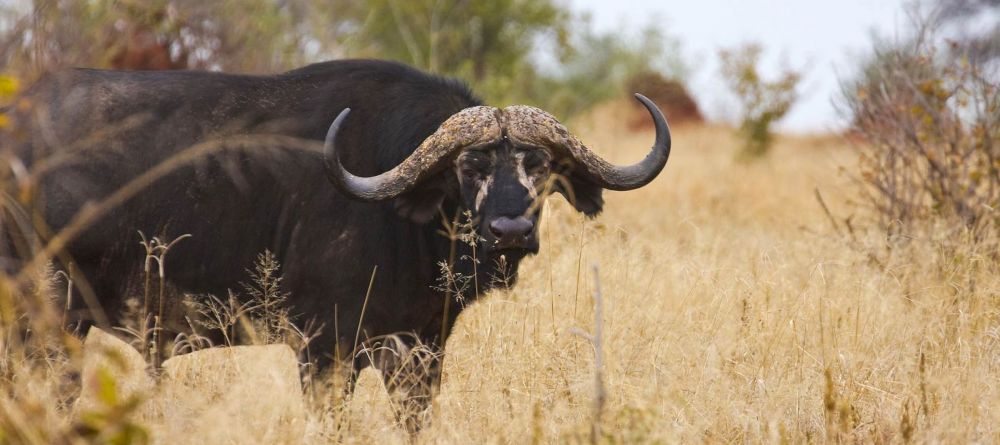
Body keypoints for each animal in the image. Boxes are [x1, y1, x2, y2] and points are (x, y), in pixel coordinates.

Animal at [3, 58, 672, 426]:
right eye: (470, 166)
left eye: (540, 166)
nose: (511, 231)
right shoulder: (325, 351)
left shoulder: (421, 351)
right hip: (50, 319)